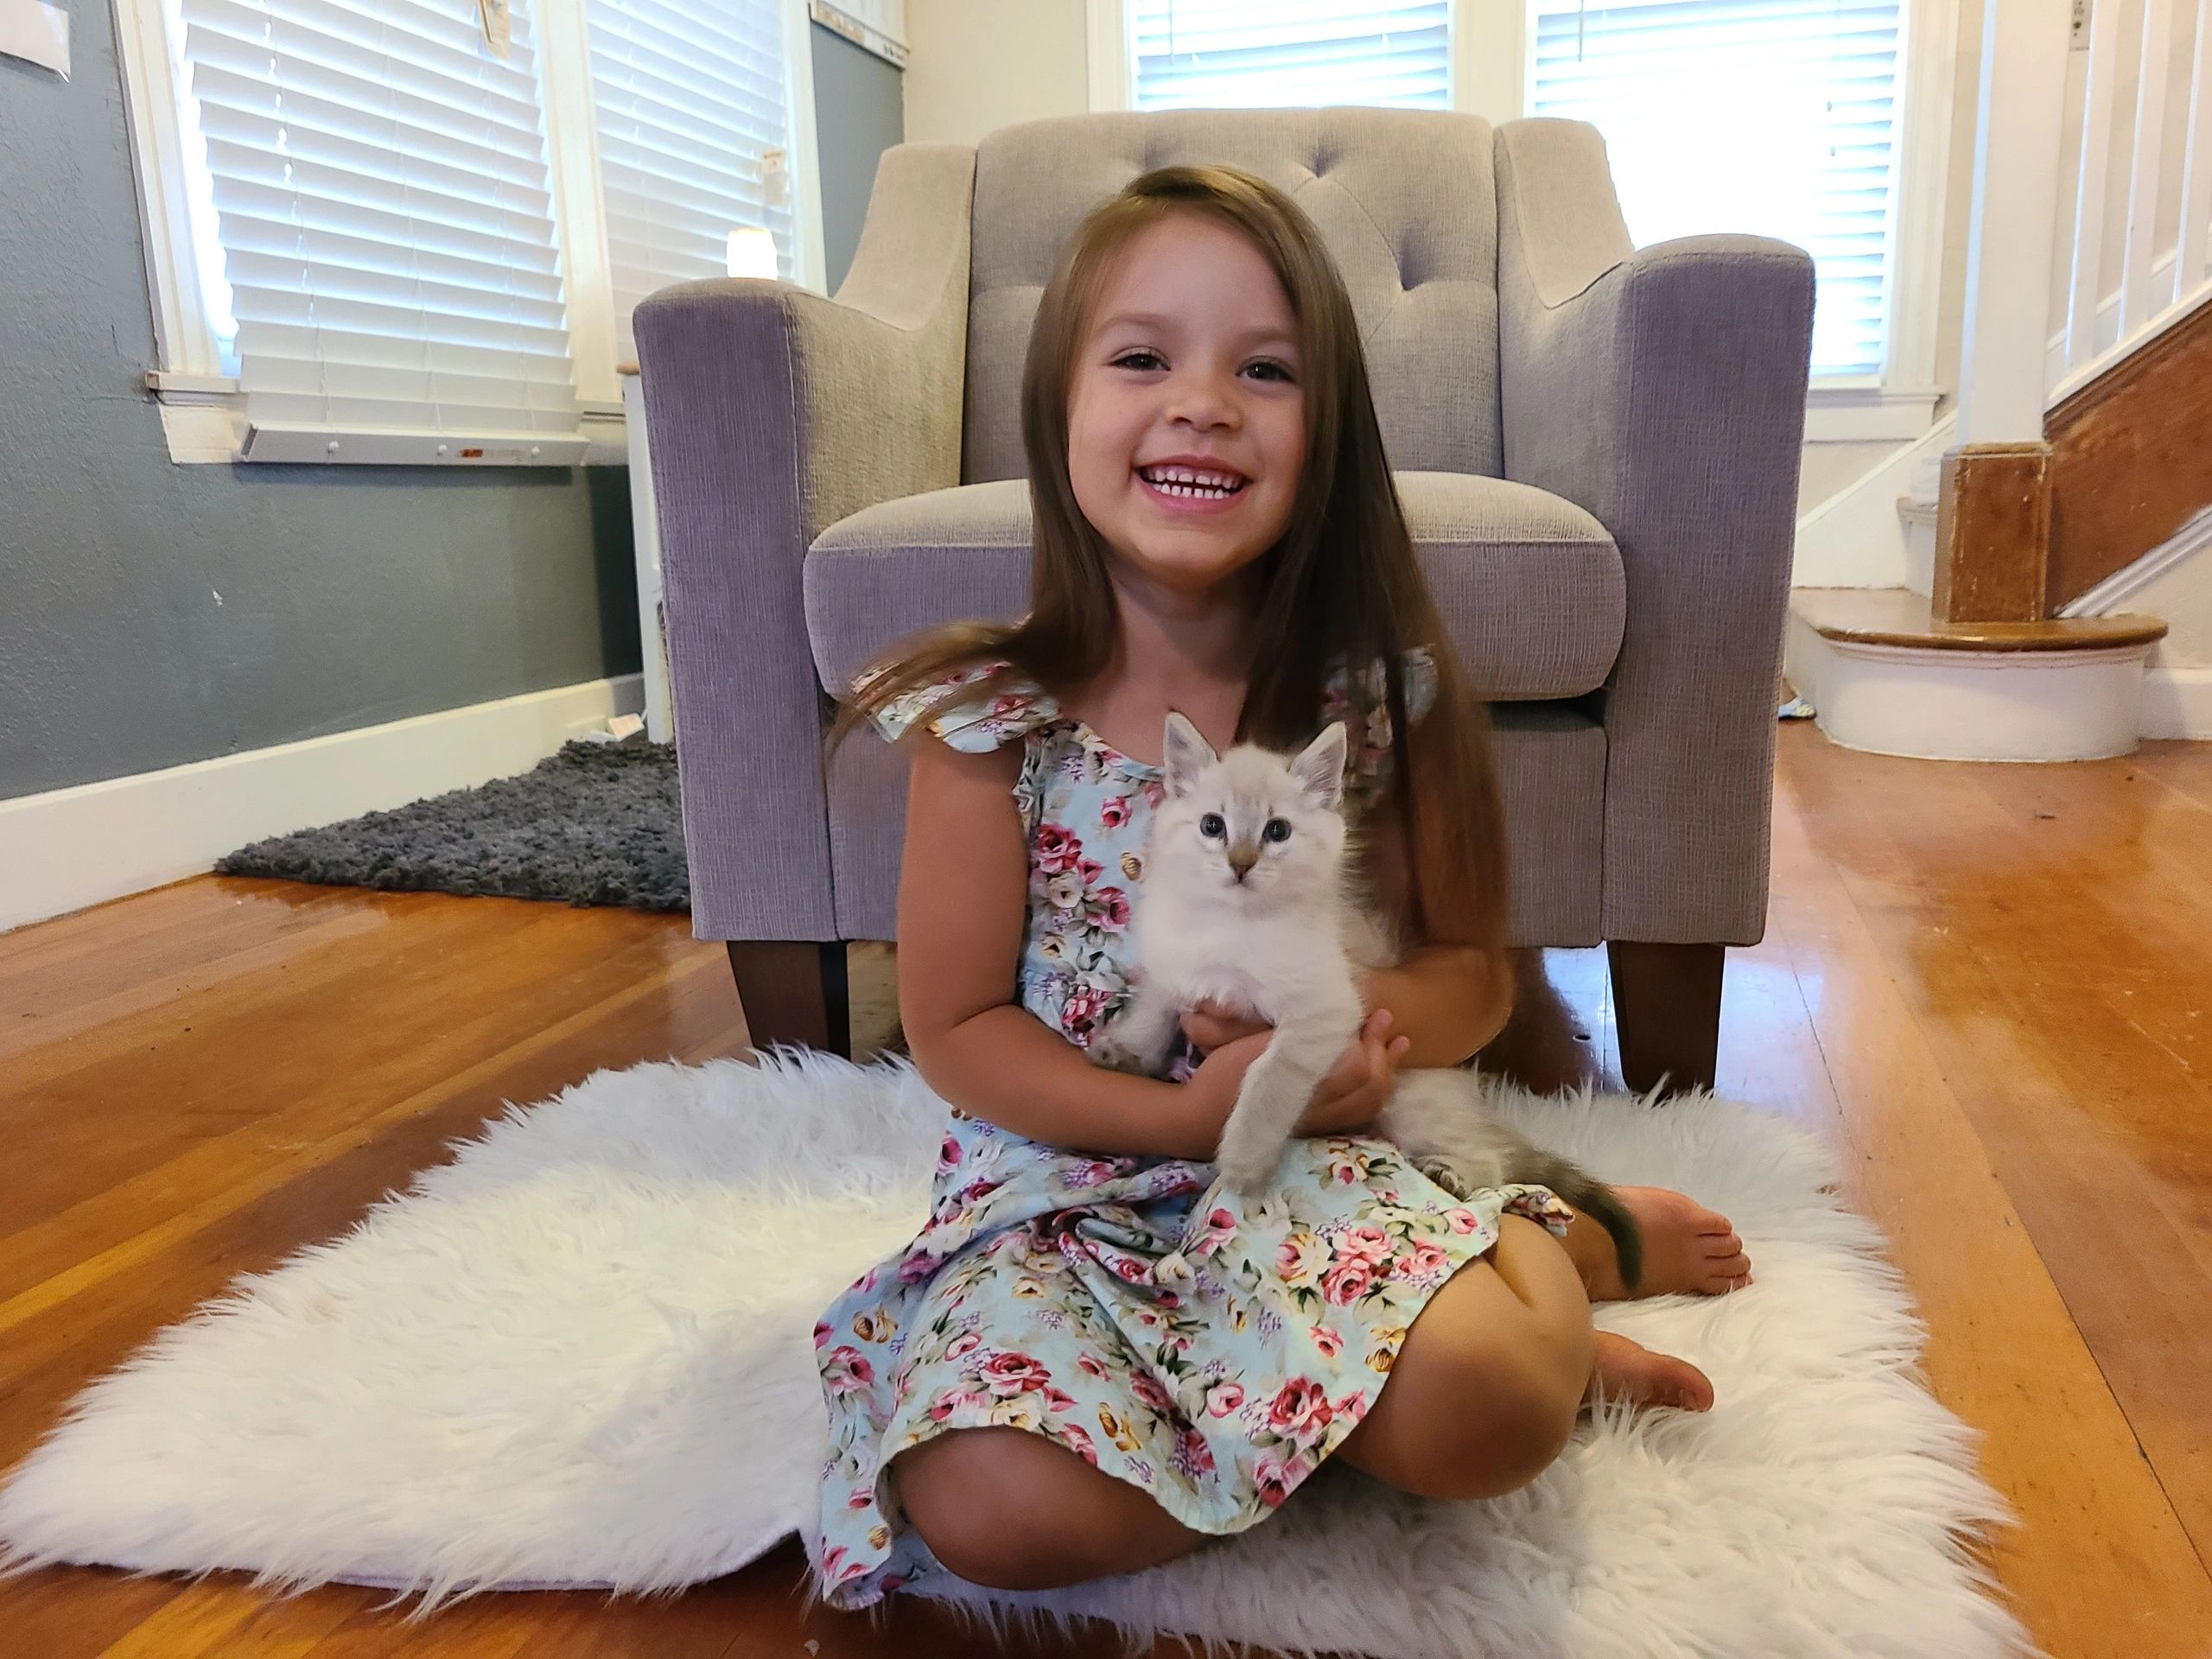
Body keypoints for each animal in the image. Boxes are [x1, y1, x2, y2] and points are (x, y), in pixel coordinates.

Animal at [1101, 716, 1645, 1282]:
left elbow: (1267, 1082)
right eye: (1213, 826)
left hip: (1412, 1105)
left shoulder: (1323, 1011)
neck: (1230, 923)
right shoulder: (1176, 967)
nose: (1241, 865)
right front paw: (1129, 1050)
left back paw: (1453, 1175)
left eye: (1277, 832)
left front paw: (1244, 1162)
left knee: (1493, 1162)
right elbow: (1157, 1005)